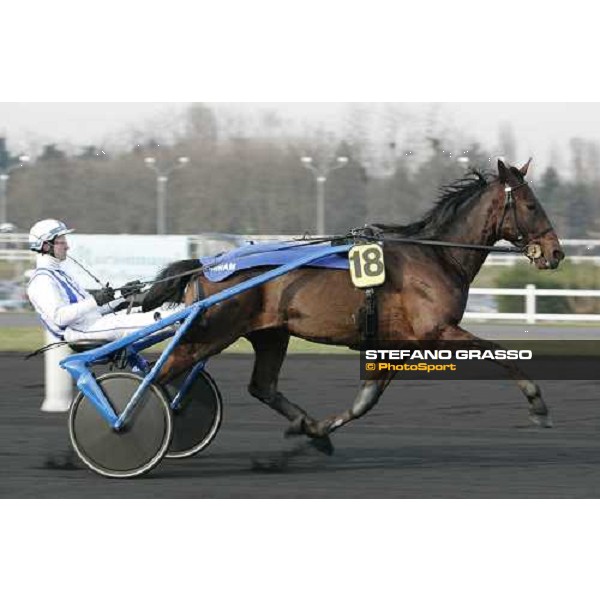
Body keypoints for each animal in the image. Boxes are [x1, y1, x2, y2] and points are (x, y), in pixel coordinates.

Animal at [143, 159, 564, 450]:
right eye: (530, 204)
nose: (555, 252)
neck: (436, 255)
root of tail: (206, 264)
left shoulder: (399, 344)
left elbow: (366, 401)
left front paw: (318, 431)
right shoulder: (439, 330)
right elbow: (500, 352)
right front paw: (538, 405)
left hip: (270, 335)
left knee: (261, 386)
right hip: (211, 332)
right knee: (157, 375)